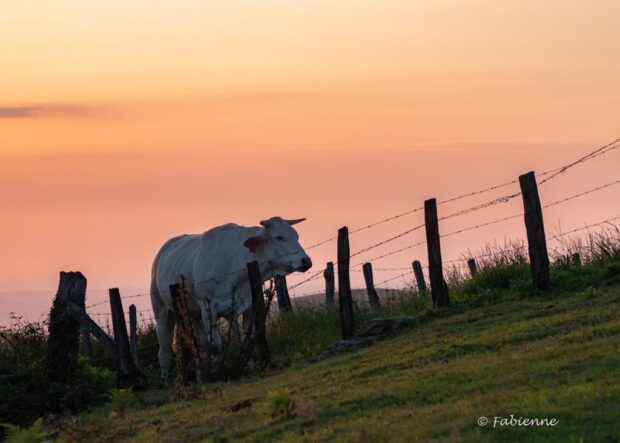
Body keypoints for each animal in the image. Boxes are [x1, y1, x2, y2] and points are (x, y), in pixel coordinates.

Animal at [150, 217, 312, 380]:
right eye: (279, 237)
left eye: (296, 236)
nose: (306, 260)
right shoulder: (208, 308)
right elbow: (216, 346)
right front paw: (215, 374)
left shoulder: (248, 306)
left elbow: (246, 340)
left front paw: (249, 368)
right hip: (162, 313)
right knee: (164, 352)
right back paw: (166, 380)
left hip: (193, 316)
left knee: (199, 346)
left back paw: (200, 375)